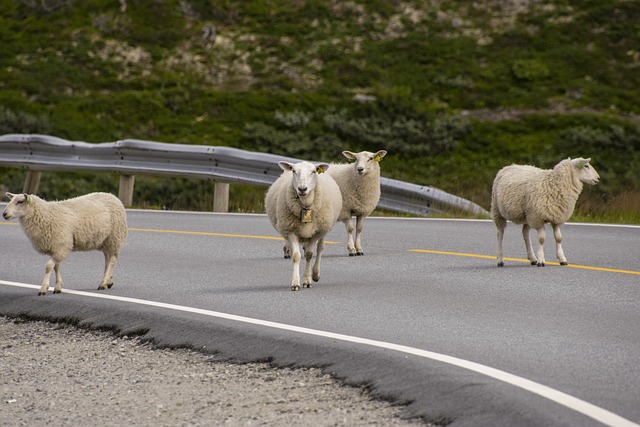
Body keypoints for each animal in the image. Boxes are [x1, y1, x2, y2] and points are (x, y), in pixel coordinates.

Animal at [264, 160, 342, 290]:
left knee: (320, 248)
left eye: (313, 171)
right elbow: (296, 256)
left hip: (324, 228)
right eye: (294, 171)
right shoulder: (291, 231)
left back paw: (315, 274)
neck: (305, 206)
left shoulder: (316, 233)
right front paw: (295, 283)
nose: (302, 188)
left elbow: (310, 255)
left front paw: (308, 281)